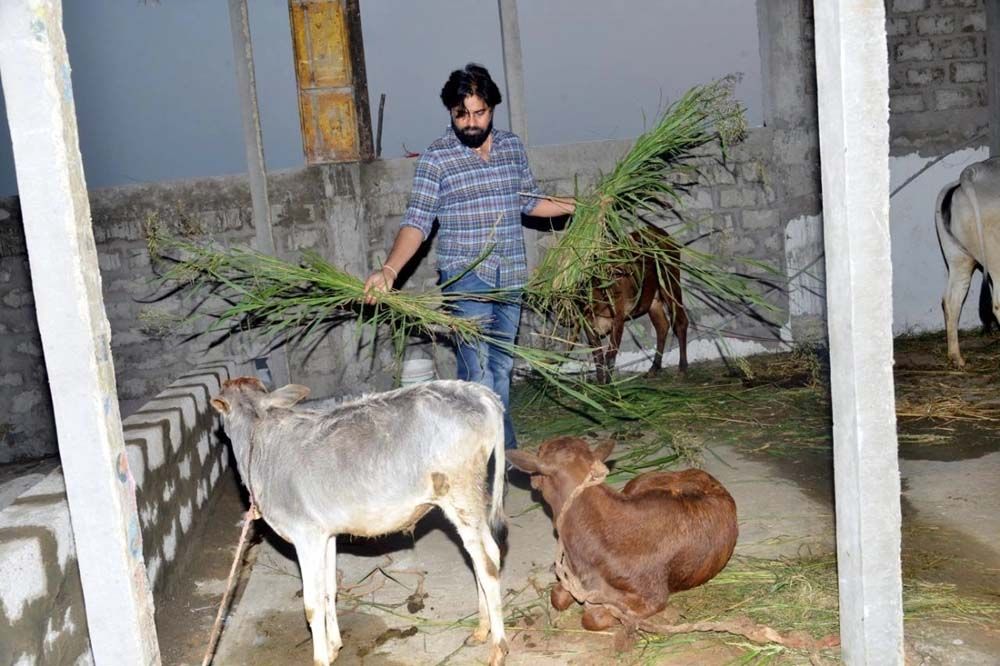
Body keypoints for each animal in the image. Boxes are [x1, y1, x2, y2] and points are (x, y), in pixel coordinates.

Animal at [211, 378, 508, 664]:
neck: (258, 440)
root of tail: (478, 392)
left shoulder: (305, 535)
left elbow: (312, 604)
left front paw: (321, 657)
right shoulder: (325, 535)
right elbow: (329, 589)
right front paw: (333, 647)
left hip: (460, 495)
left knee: (486, 565)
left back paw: (497, 649)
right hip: (471, 501)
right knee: (486, 555)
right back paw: (481, 630)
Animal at [508, 434, 736, 632]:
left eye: (540, 449)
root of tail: (699, 472)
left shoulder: (653, 597)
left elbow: (593, 617)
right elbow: (557, 596)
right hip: (636, 484)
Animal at [584, 224, 688, 382]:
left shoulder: (618, 317)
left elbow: (610, 355)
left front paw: (608, 384)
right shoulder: (587, 323)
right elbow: (598, 356)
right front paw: (600, 383)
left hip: (670, 283)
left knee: (681, 322)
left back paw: (682, 369)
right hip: (653, 300)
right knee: (662, 326)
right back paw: (653, 369)